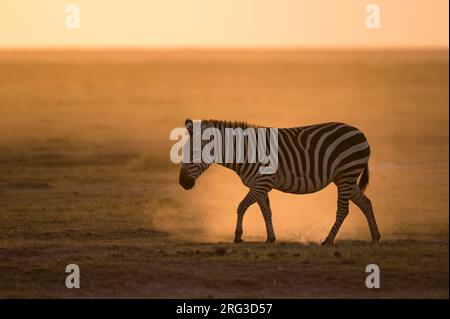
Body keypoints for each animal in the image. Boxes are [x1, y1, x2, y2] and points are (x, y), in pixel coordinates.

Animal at [178, 119, 382, 246]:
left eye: (193, 153)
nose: (182, 183)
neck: (244, 152)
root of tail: (359, 132)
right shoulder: (259, 184)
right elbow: (266, 211)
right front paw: (270, 238)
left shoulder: (262, 183)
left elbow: (241, 206)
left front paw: (238, 235)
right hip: (345, 178)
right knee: (366, 202)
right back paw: (375, 237)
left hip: (347, 174)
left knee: (343, 210)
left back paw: (328, 240)